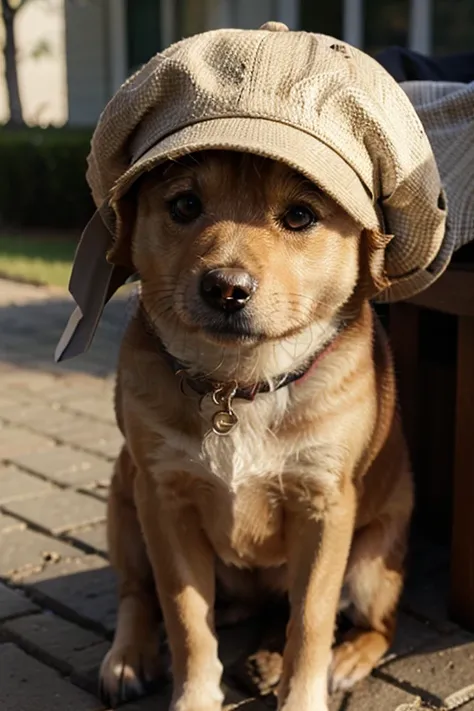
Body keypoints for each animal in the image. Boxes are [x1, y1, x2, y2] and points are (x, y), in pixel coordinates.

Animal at [99, 152, 412, 711]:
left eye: (300, 216)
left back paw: (335, 659)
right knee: (138, 594)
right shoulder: (163, 501)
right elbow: (185, 617)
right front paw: (195, 696)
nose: (226, 288)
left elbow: (310, 620)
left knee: (372, 624)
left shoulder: (323, 508)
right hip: (124, 496)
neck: (239, 384)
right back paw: (131, 656)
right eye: (184, 204)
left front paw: (301, 695)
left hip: (372, 564)